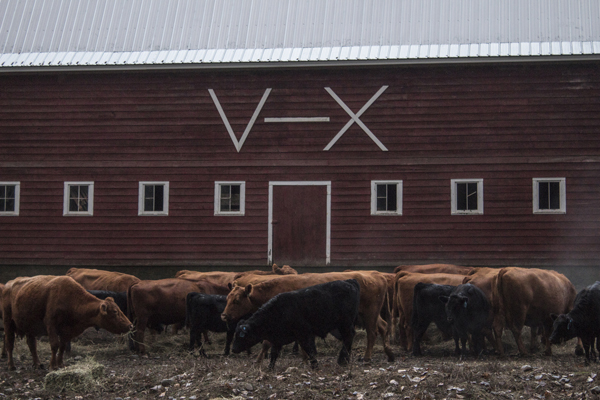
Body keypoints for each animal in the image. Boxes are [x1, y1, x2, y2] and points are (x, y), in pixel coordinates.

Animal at [1, 276, 132, 370]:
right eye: (115, 311)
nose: (130, 325)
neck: (71, 299)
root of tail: (8, 285)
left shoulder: (66, 331)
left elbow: (62, 346)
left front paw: (60, 364)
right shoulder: (51, 325)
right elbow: (55, 345)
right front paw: (52, 365)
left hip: (30, 327)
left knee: (32, 344)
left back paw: (37, 364)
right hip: (8, 323)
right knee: (9, 343)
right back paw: (11, 365)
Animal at [220, 272, 394, 362]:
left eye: (236, 300)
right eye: (227, 298)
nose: (224, 315)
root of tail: (375, 275)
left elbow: (267, 342)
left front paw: (258, 359)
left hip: (370, 314)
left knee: (372, 333)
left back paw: (367, 358)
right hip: (369, 314)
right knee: (383, 327)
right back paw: (389, 353)